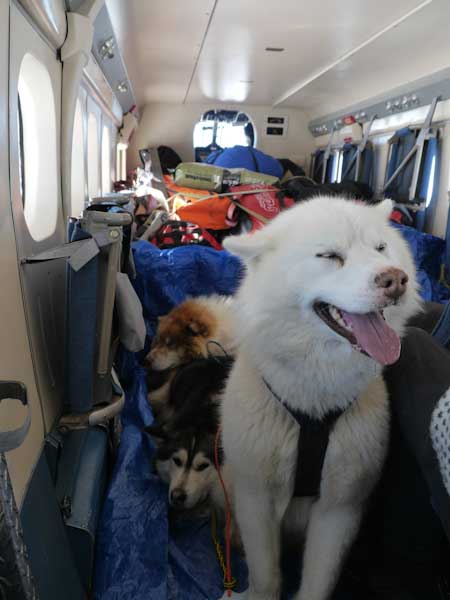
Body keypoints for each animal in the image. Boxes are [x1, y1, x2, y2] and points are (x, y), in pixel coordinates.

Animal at [221, 198, 422, 600]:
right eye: (330, 256)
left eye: (380, 248)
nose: (394, 279)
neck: (313, 409)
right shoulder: (255, 497)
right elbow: (265, 576)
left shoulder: (340, 507)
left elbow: (318, 581)